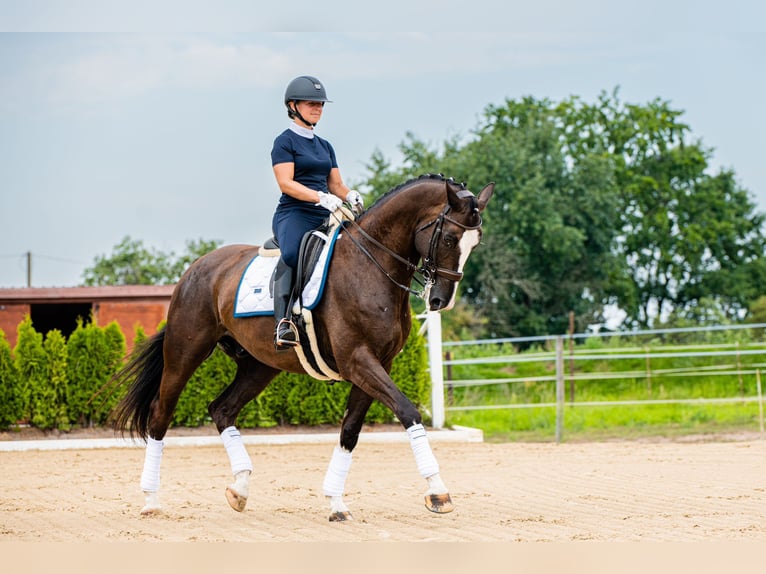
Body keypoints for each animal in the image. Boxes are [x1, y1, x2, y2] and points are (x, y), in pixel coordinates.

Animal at [112, 174, 498, 520]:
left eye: (476, 243)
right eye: (448, 237)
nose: (440, 301)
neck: (371, 266)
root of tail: (195, 269)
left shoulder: (378, 363)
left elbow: (350, 430)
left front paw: (336, 502)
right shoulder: (358, 360)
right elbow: (408, 411)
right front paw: (438, 491)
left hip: (259, 366)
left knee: (221, 410)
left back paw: (240, 488)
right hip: (185, 352)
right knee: (161, 414)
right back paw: (151, 500)